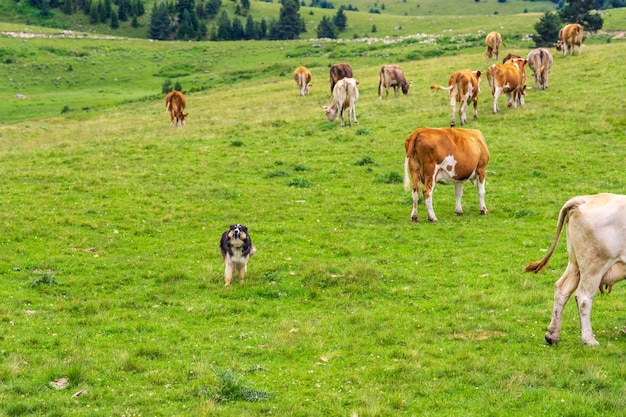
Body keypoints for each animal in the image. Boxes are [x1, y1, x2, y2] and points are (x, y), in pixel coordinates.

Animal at [524, 193, 624, 346]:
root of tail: (584, 199)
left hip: (575, 264)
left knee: (561, 289)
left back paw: (552, 335)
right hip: (594, 265)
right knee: (583, 298)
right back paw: (589, 340)